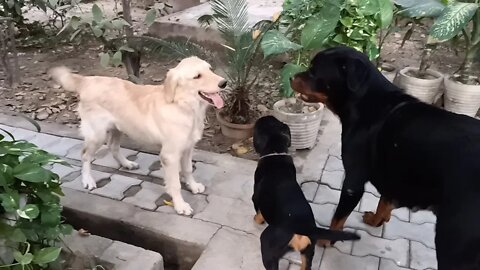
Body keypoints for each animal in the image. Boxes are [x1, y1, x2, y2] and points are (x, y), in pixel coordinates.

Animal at [49, 57, 226, 215]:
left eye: (210, 69)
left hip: (118, 128)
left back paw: (127, 164)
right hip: (97, 134)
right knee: (85, 155)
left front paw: (193, 186)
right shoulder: (169, 155)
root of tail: (87, 80)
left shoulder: (188, 147)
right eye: (197, 76)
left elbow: (188, 169)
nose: (224, 83)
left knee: (113, 147)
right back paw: (88, 180)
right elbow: (175, 183)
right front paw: (180, 205)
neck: (183, 106)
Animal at [253, 116, 358, 270]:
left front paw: (257, 219)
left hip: (268, 248)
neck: (276, 153)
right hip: (308, 252)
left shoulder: (255, 196)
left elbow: (258, 211)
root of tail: (303, 227)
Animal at [290, 45, 480, 268]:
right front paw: (376, 220)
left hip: (454, 239)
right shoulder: (392, 171)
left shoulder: (353, 181)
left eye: (313, 71)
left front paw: (326, 239)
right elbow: (385, 201)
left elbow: (338, 217)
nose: (291, 76)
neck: (367, 104)